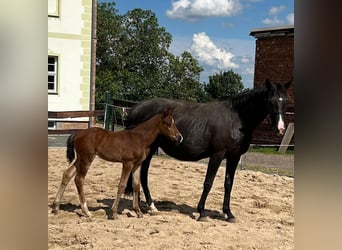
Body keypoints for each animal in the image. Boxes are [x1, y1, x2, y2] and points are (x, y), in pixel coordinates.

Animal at [51, 108, 183, 220]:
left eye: (174, 122)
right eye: (168, 123)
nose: (179, 137)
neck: (140, 138)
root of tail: (78, 134)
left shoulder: (137, 164)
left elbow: (136, 185)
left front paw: (138, 212)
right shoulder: (127, 163)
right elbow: (122, 185)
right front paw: (114, 212)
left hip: (80, 159)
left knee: (67, 174)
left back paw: (56, 207)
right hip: (86, 158)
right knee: (79, 179)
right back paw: (86, 211)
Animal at [125, 79, 292, 222]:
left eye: (286, 101)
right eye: (270, 100)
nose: (280, 128)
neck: (236, 119)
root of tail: (134, 109)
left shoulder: (234, 157)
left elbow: (228, 184)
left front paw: (229, 214)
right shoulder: (217, 155)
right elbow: (208, 183)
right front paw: (202, 212)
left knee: (141, 173)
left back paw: (148, 205)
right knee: (142, 174)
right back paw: (149, 205)